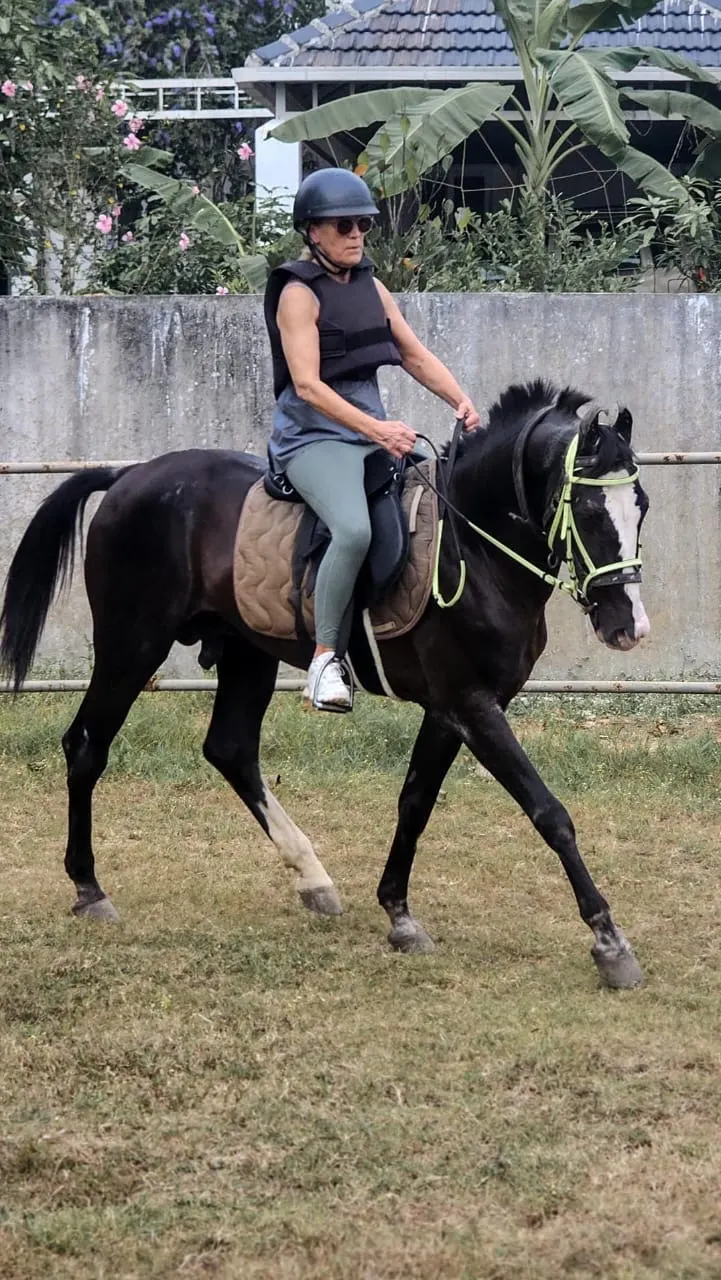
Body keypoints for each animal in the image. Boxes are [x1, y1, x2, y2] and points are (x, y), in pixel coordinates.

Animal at [0, 380, 650, 988]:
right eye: (590, 510)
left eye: (639, 505)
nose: (628, 627)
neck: (473, 548)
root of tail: (131, 476)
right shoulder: (472, 705)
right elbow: (548, 811)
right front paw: (609, 942)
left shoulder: (451, 709)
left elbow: (415, 802)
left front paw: (398, 914)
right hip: (131, 647)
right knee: (87, 746)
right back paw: (90, 889)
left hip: (245, 653)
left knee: (230, 750)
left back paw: (313, 879)